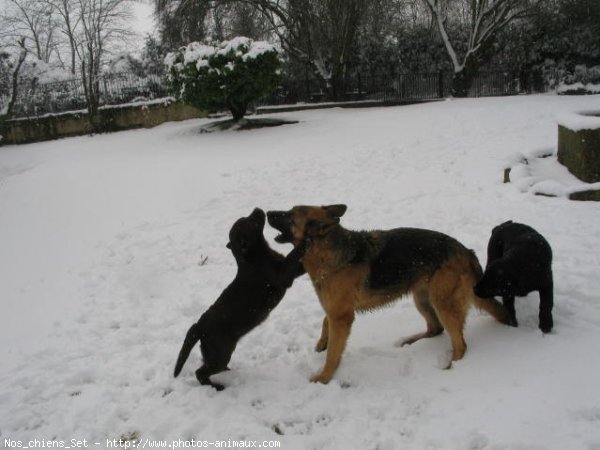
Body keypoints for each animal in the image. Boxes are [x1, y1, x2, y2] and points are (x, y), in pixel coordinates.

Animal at [171, 207, 308, 390]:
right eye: (248, 221)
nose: (258, 209)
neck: (255, 257)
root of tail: (199, 325)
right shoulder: (283, 276)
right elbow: (293, 254)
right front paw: (306, 240)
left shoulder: (293, 270)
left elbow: (300, 263)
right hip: (220, 355)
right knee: (200, 373)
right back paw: (217, 387)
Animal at [268, 205, 510, 384]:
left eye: (290, 215)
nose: (268, 212)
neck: (329, 251)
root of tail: (467, 252)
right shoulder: (335, 309)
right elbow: (324, 321)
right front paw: (322, 343)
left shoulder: (342, 317)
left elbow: (333, 353)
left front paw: (324, 377)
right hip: (422, 299)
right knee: (435, 329)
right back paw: (411, 341)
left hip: (443, 304)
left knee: (460, 344)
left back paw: (453, 366)